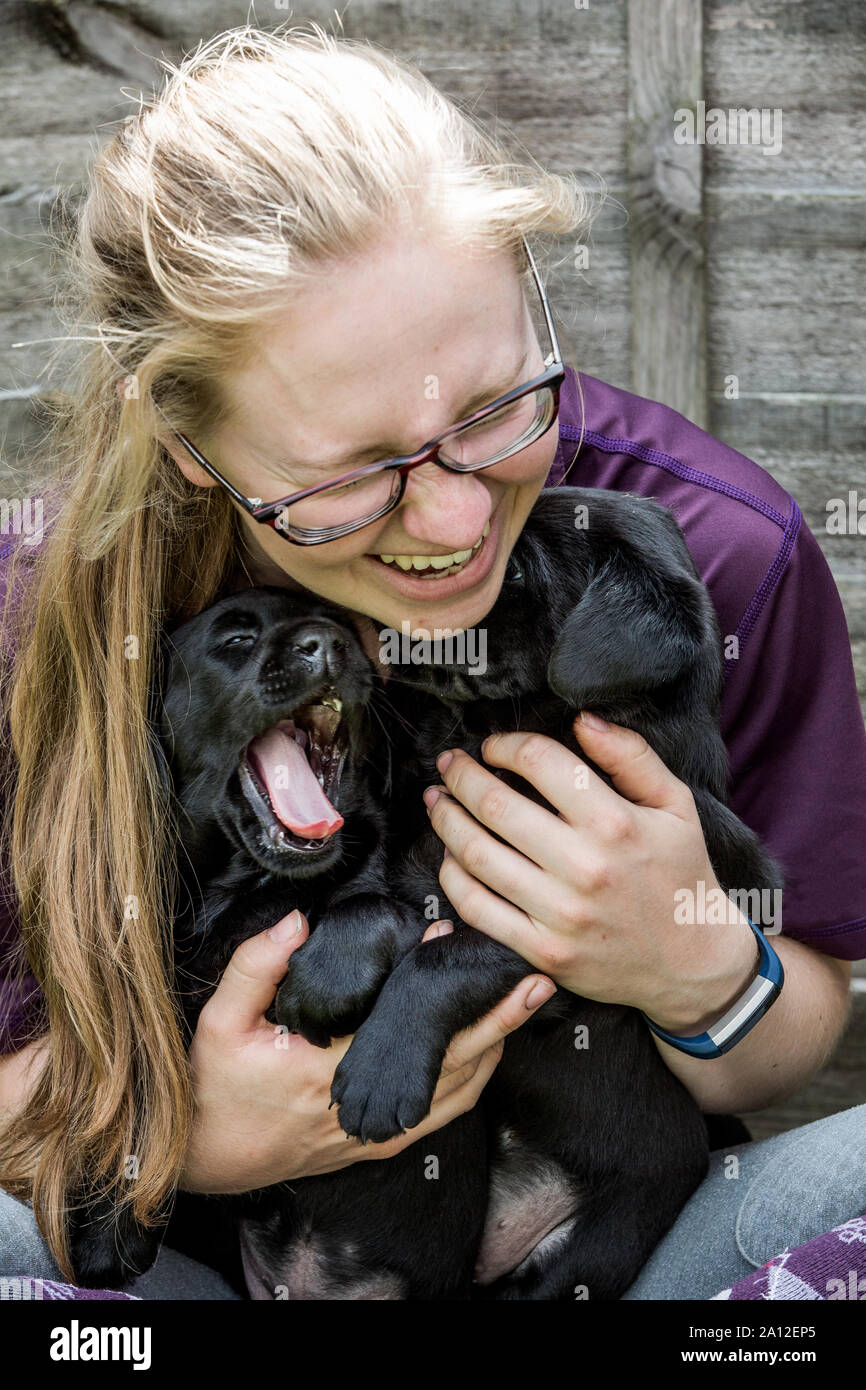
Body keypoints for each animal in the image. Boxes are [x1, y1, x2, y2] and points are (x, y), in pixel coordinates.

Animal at [326, 483, 783, 1295]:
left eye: (513, 571)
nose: (393, 610)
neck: (489, 733)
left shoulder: (552, 925)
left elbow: (443, 962)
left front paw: (381, 1069)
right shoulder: (409, 833)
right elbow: (370, 893)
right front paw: (324, 967)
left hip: (594, 1248)